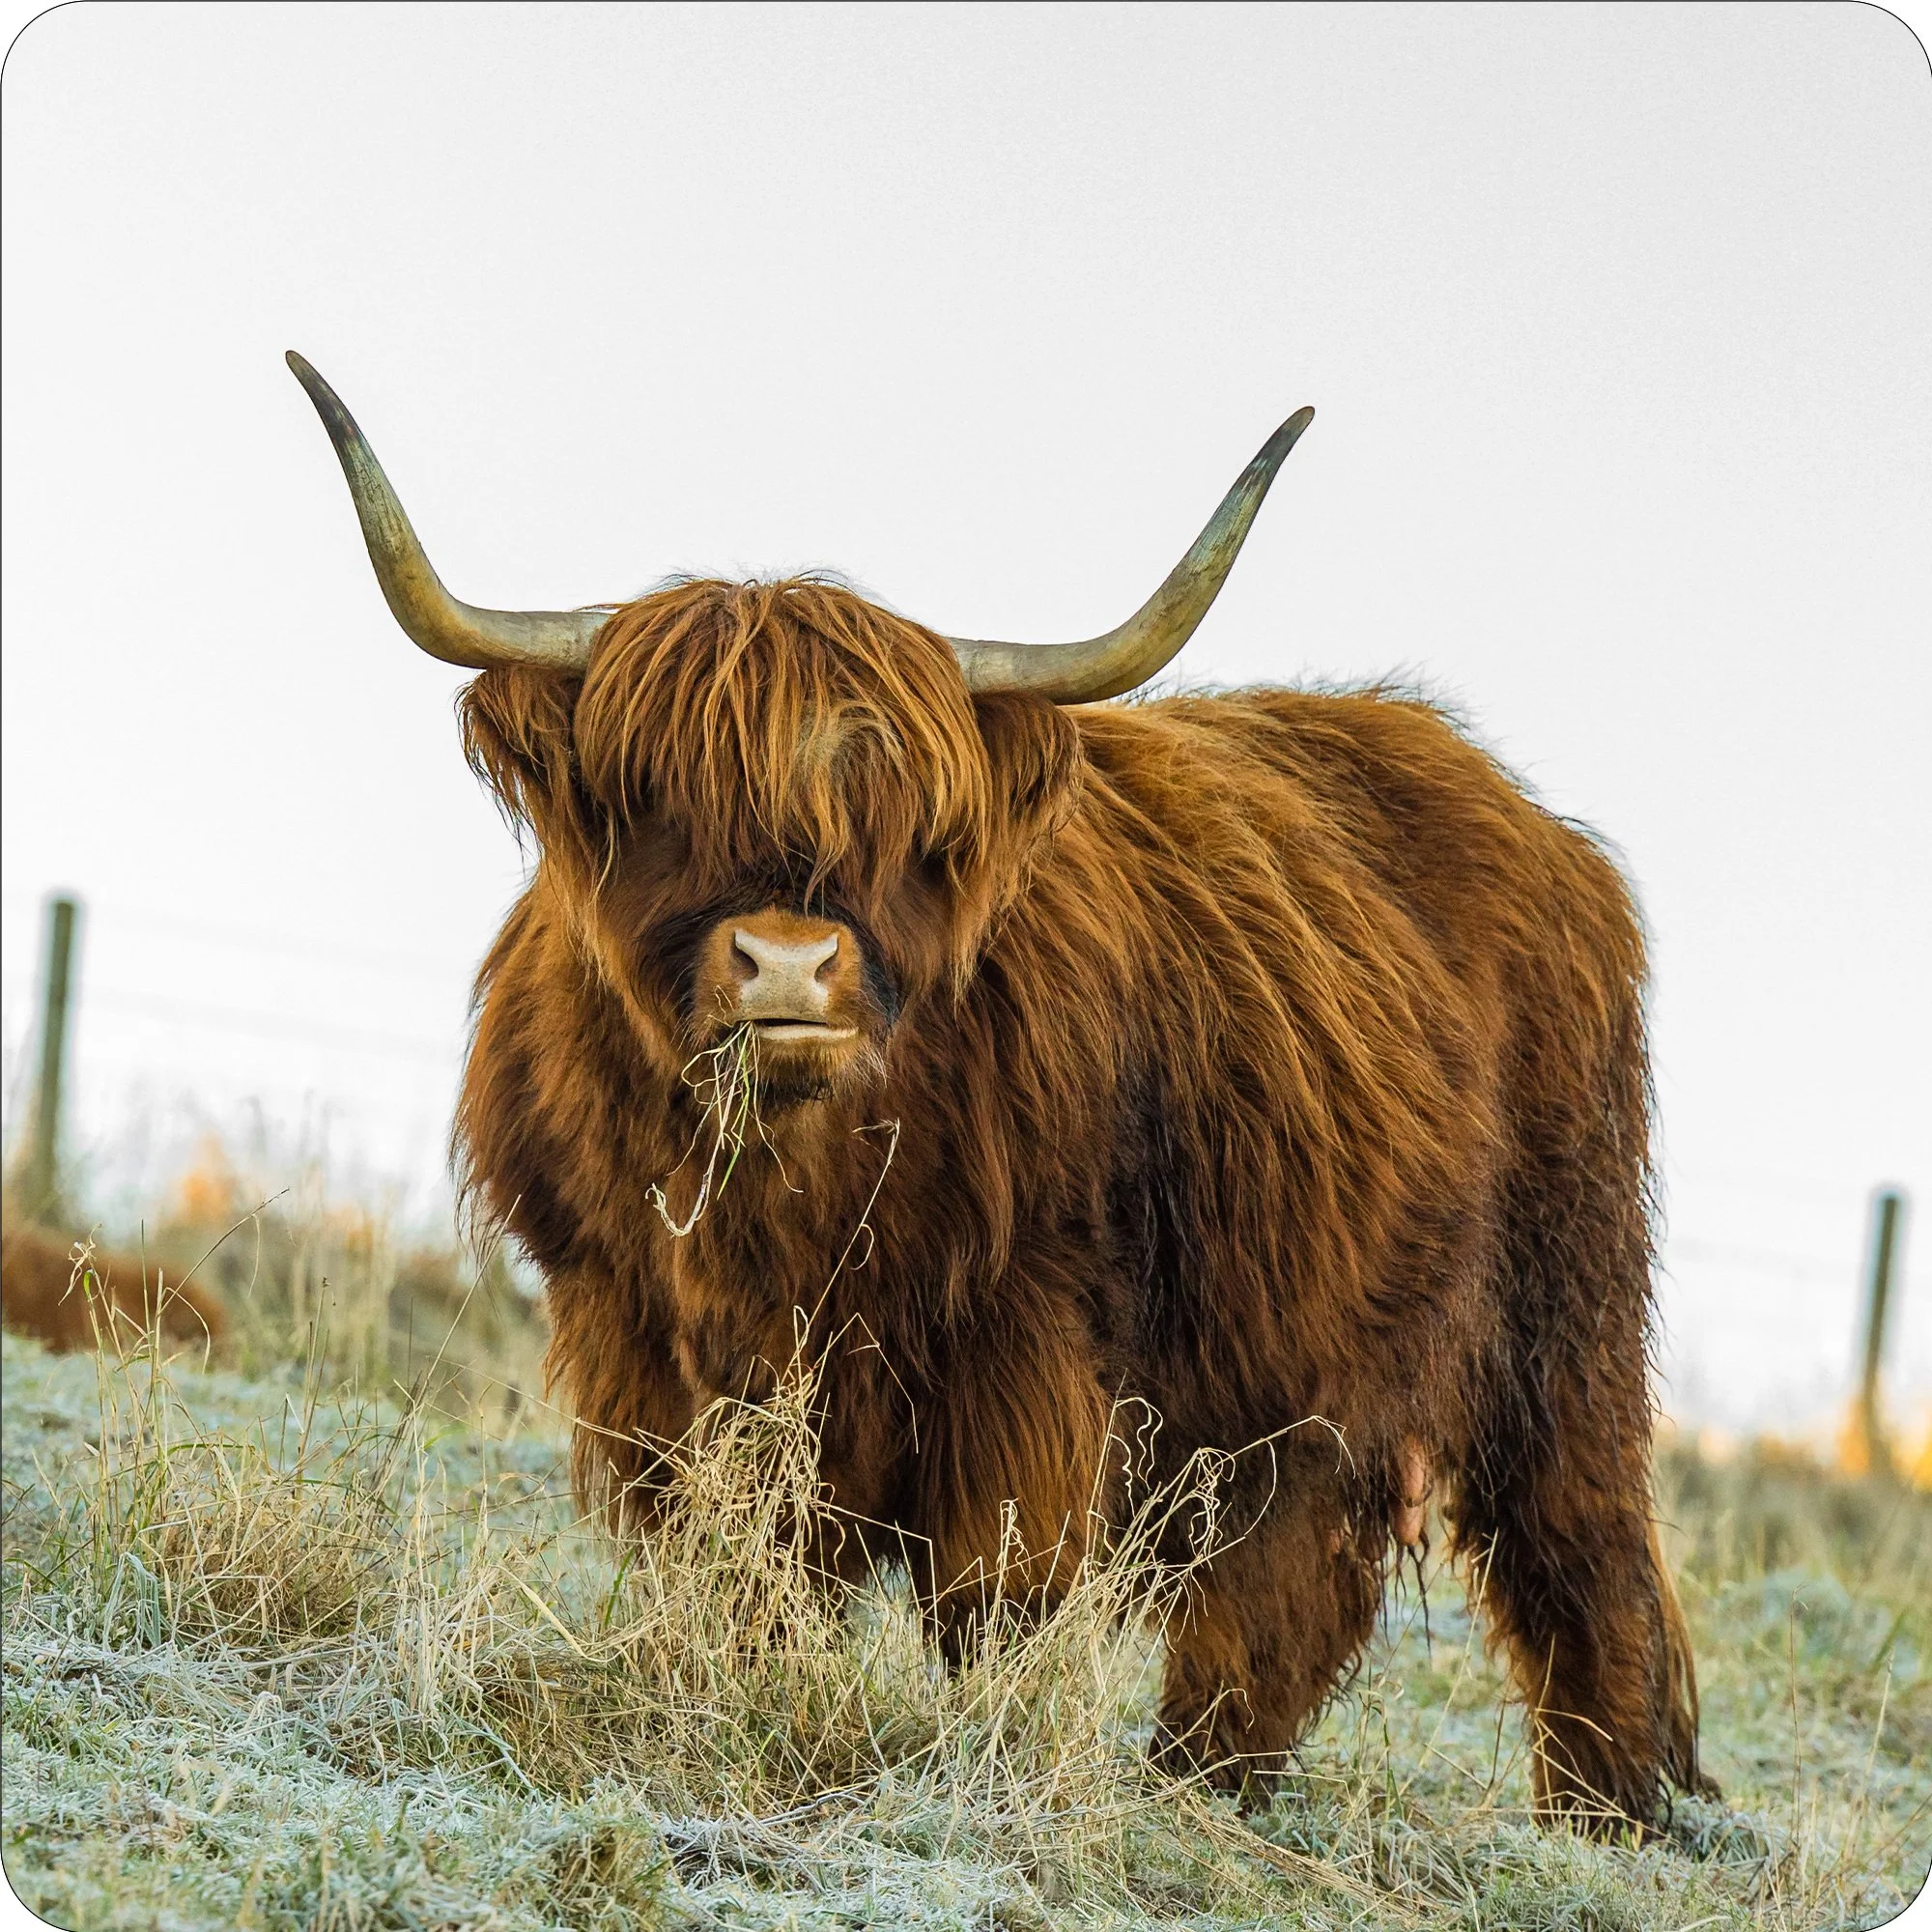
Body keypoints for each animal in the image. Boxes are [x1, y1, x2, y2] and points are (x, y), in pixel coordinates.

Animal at [289, 352, 1709, 1829]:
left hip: (1562, 1300)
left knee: (1571, 1542)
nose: (787, 963)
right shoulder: (640, 1340)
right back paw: (1208, 1783)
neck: (784, 1191)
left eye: (908, 827)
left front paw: (990, 1760)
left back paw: (1600, 1814)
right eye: (654, 798)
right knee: (1290, 1578)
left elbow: (995, 1593)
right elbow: (739, 1567)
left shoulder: (1026, 1346)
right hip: (1307, 1364)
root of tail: (1526, 817)